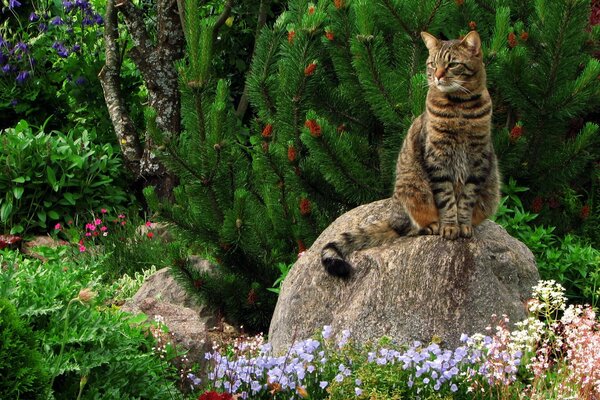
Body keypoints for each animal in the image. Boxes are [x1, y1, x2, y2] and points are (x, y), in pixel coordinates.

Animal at [322, 31, 500, 276]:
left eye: (452, 64)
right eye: (432, 64)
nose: (437, 76)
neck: (459, 107)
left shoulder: (479, 159)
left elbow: (466, 199)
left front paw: (463, 225)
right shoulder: (437, 159)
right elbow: (447, 199)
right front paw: (449, 227)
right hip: (413, 190)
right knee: (413, 227)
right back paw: (432, 225)